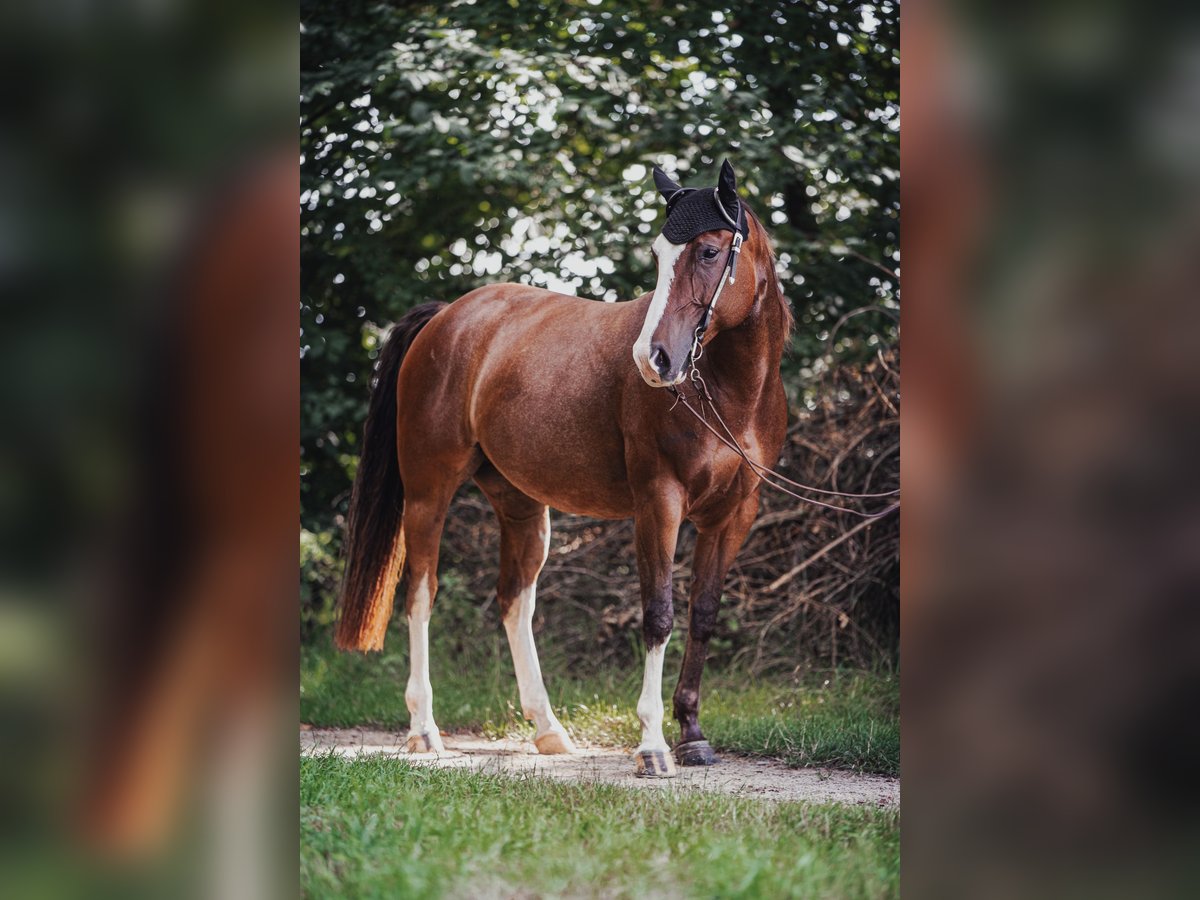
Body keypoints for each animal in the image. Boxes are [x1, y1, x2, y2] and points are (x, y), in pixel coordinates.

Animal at [335, 159, 792, 776]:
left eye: (709, 251)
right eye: (658, 254)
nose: (653, 359)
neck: (726, 395)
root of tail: (446, 317)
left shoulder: (734, 515)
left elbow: (702, 616)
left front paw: (693, 736)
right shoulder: (659, 503)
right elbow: (659, 615)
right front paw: (652, 745)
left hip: (522, 505)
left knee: (514, 601)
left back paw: (548, 729)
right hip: (428, 493)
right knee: (421, 595)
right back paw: (425, 730)